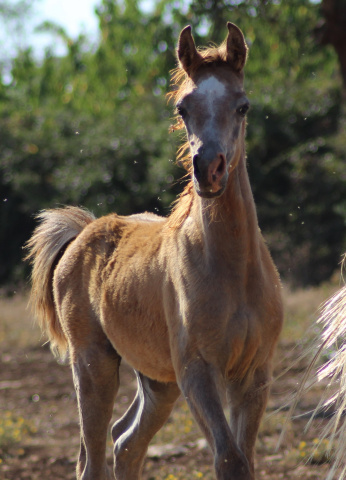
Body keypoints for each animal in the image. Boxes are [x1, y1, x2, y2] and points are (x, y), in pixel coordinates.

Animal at [25, 22, 284, 480]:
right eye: (183, 108)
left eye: (243, 106)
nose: (209, 168)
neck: (232, 271)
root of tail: (84, 229)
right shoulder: (196, 372)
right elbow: (229, 458)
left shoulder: (255, 373)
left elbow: (246, 459)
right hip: (93, 363)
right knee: (93, 456)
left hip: (158, 381)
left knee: (126, 443)